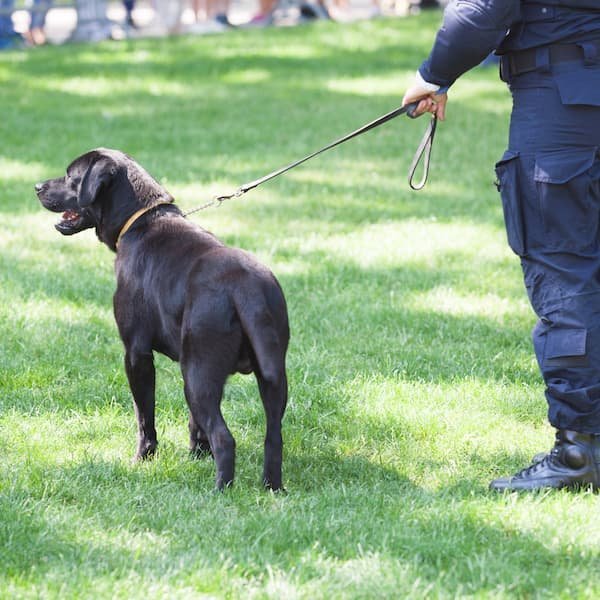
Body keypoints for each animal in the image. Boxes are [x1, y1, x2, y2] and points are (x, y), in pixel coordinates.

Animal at [36, 148, 290, 490]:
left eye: (70, 176)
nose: (37, 187)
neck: (140, 221)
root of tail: (244, 287)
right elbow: (194, 423)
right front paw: (197, 454)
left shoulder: (136, 353)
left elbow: (145, 416)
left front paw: (142, 459)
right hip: (268, 376)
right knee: (273, 437)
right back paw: (271, 488)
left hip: (198, 375)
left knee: (225, 438)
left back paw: (220, 491)